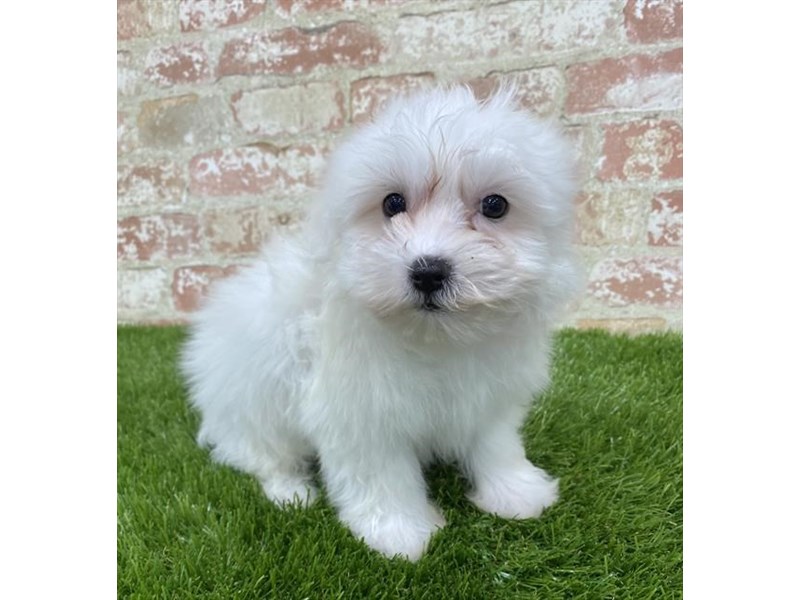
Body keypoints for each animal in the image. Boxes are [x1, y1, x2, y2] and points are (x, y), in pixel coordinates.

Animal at [181, 85, 580, 564]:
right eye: (392, 203)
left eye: (495, 205)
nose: (428, 272)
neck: (437, 340)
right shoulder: (360, 411)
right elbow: (382, 476)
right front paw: (399, 533)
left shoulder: (489, 397)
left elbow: (496, 444)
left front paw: (515, 492)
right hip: (253, 405)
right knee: (262, 455)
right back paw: (290, 492)